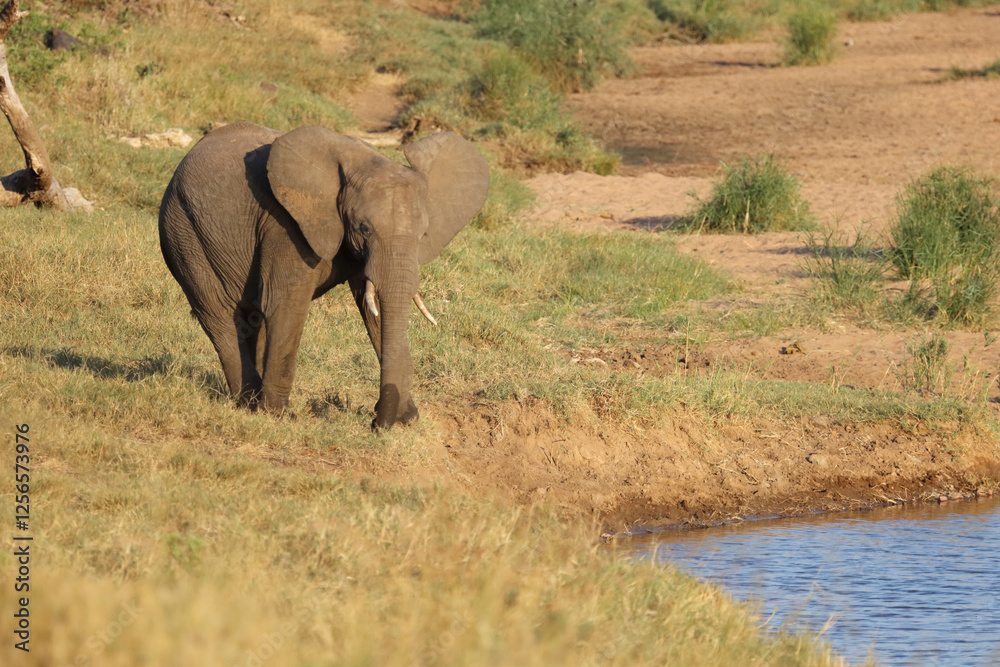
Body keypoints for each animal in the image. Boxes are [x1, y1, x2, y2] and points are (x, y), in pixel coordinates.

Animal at [158, 122, 489, 428]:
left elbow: (376, 311)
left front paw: (406, 419)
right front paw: (279, 417)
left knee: (252, 319)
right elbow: (285, 304)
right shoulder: (284, 225)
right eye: (363, 228)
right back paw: (250, 404)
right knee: (220, 317)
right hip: (183, 232)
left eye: (423, 234)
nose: (376, 424)